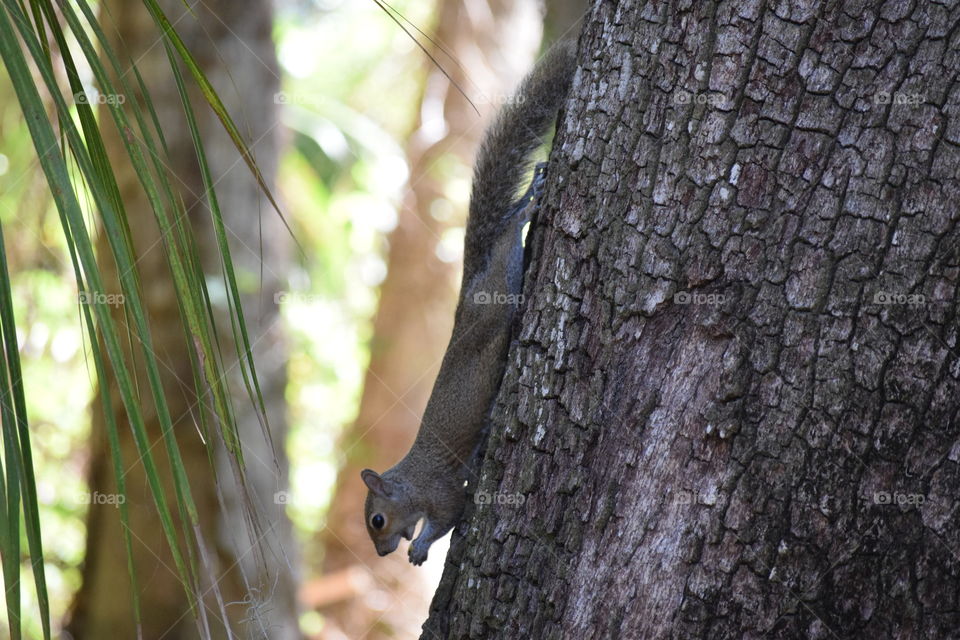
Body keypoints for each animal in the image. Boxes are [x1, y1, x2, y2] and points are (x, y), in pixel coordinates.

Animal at [361, 41, 577, 565]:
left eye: (377, 520)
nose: (382, 554)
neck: (411, 480)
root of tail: (469, 288)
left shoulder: (442, 495)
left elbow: (448, 520)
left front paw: (419, 547)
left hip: (498, 290)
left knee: (507, 235)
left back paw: (528, 202)